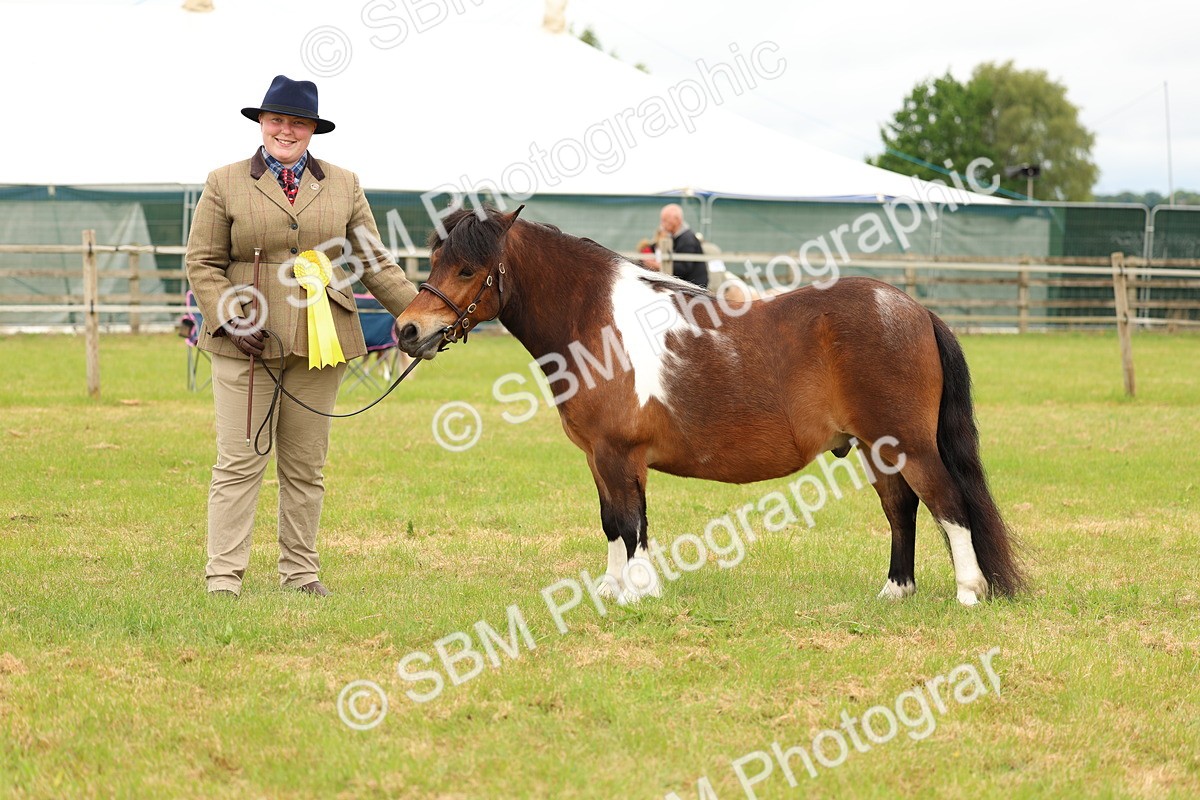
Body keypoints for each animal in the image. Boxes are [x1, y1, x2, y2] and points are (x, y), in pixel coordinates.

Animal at [396, 206, 1024, 606]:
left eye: (469, 268)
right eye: (436, 260)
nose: (406, 330)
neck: (595, 321)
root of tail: (913, 309)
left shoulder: (619, 454)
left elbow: (629, 523)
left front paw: (634, 594)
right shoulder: (601, 458)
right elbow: (614, 523)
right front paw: (614, 589)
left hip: (909, 444)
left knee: (947, 504)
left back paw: (969, 593)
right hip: (878, 449)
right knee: (902, 509)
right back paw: (895, 590)